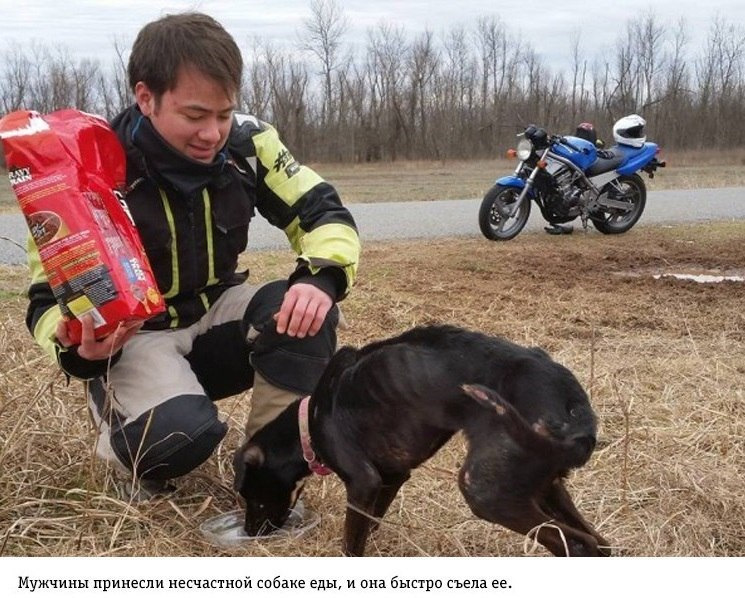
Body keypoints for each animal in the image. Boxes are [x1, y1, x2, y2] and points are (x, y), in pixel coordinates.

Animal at [234, 328, 612, 556]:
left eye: (252, 495)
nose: (250, 533)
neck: (308, 422)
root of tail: (578, 415)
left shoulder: (363, 481)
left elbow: (352, 542)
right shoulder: (391, 477)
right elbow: (372, 522)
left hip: (485, 491)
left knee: (578, 545)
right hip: (544, 486)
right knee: (600, 544)